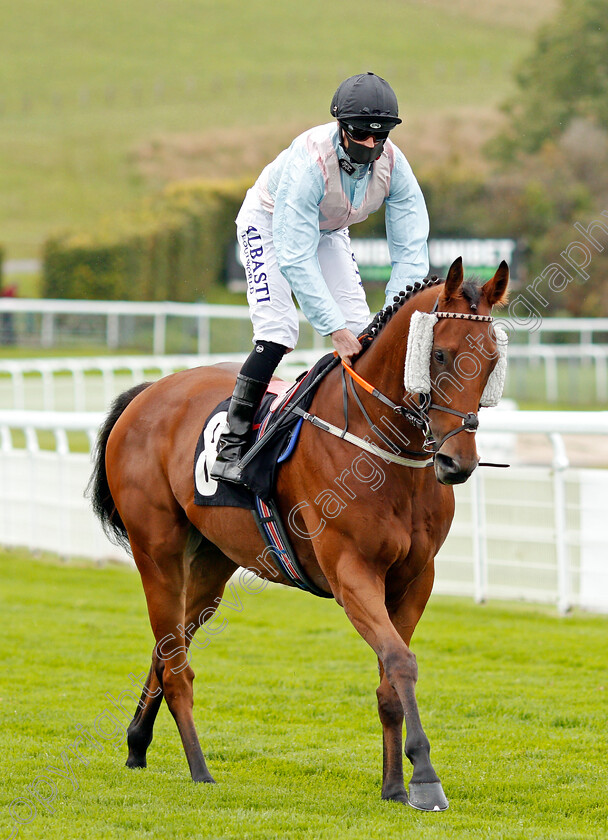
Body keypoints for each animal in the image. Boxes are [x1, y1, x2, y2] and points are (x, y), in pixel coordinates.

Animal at [89, 258, 508, 812]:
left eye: (493, 359)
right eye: (439, 353)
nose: (456, 462)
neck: (384, 451)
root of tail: (149, 392)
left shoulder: (416, 579)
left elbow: (389, 682)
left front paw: (394, 785)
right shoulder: (352, 573)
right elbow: (401, 661)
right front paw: (424, 778)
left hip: (211, 564)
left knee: (166, 646)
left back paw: (138, 743)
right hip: (157, 552)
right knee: (176, 663)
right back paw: (200, 769)